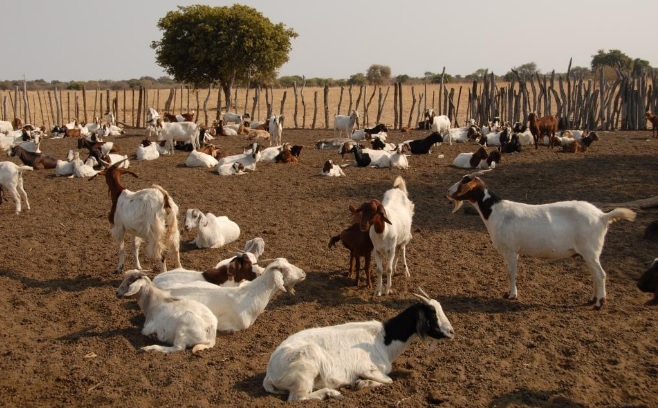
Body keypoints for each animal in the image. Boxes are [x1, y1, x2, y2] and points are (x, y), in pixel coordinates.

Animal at [262, 290, 452, 402]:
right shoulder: (368, 368)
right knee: (296, 398)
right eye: (432, 314)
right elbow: (388, 380)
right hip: (305, 370)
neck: (383, 339)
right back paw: (331, 393)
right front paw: (361, 383)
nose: (451, 332)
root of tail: (270, 373)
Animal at [446, 173, 636, 310]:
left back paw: (599, 303)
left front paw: (511, 295)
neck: (495, 211)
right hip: (588, 253)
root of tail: (602, 216)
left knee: (600, 274)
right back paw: (592, 299)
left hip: (590, 250)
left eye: (463, 182)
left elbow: (511, 273)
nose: (448, 190)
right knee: (595, 274)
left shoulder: (511, 250)